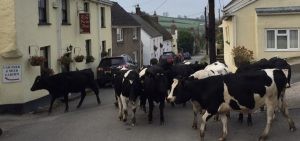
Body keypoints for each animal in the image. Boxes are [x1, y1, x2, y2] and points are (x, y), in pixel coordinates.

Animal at [168, 69, 296, 140]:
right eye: (171, 87)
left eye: (177, 89)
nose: (168, 99)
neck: (205, 87)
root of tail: (278, 70)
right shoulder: (221, 110)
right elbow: (224, 122)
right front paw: (223, 137)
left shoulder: (212, 108)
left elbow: (203, 119)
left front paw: (202, 135)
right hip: (280, 98)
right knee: (285, 110)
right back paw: (292, 126)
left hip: (271, 100)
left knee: (269, 118)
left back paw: (263, 136)